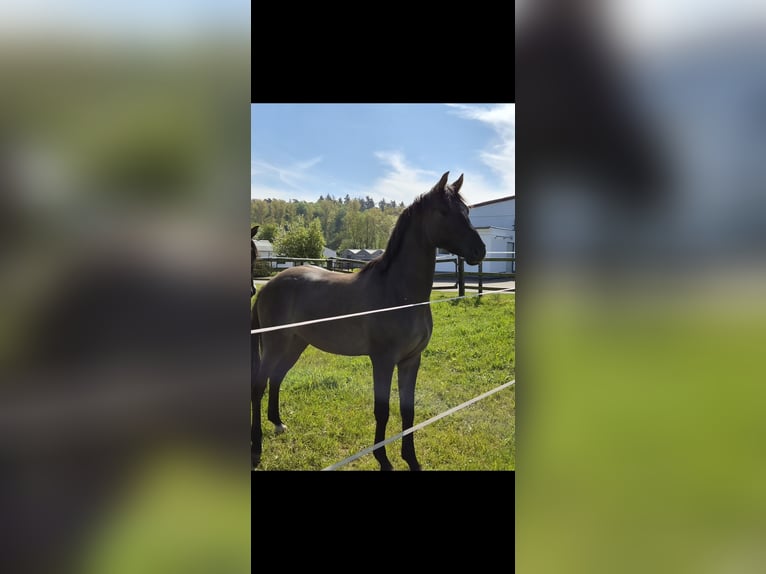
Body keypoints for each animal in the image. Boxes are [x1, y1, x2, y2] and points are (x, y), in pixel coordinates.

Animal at [251, 172, 486, 470]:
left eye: (466, 211)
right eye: (444, 212)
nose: (480, 250)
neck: (399, 291)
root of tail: (268, 286)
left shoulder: (411, 360)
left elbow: (408, 411)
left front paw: (412, 460)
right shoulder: (383, 360)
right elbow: (382, 410)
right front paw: (383, 460)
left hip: (295, 344)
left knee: (277, 378)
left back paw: (278, 423)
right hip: (275, 344)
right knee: (259, 386)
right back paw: (256, 447)